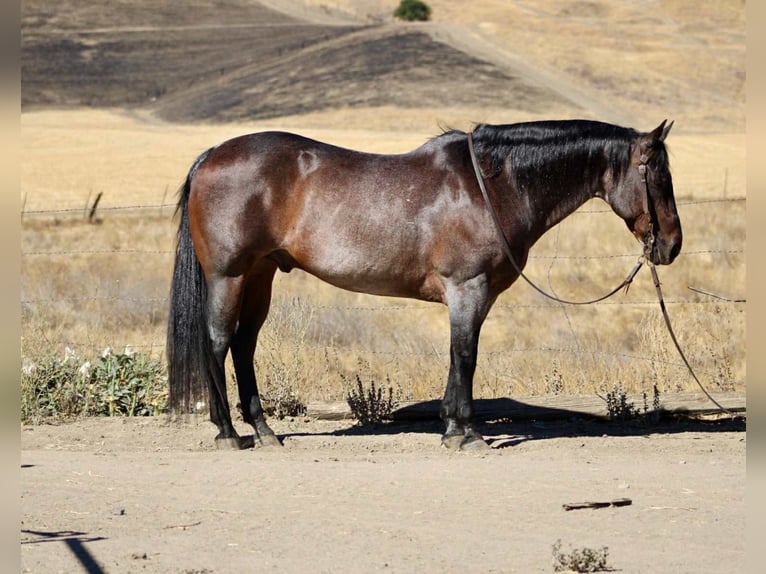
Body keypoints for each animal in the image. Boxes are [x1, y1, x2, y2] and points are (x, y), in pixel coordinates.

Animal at [166, 119, 682, 451]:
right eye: (658, 176)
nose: (672, 245)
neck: (492, 187)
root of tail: (212, 155)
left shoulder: (475, 295)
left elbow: (458, 357)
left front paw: (451, 427)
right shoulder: (467, 288)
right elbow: (467, 356)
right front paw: (467, 434)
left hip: (261, 275)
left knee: (243, 345)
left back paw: (264, 431)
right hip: (230, 275)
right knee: (217, 343)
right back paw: (229, 434)